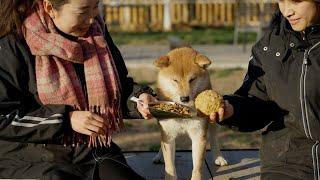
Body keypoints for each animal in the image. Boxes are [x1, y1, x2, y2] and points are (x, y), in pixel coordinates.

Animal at [152, 47, 228, 179]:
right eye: (175, 80)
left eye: (192, 79)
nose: (184, 98)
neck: (183, 111)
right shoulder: (168, 134)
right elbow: (170, 167)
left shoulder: (198, 135)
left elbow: (197, 167)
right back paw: (159, 156)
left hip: (212, 121)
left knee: (214, 138)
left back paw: (219, 157)